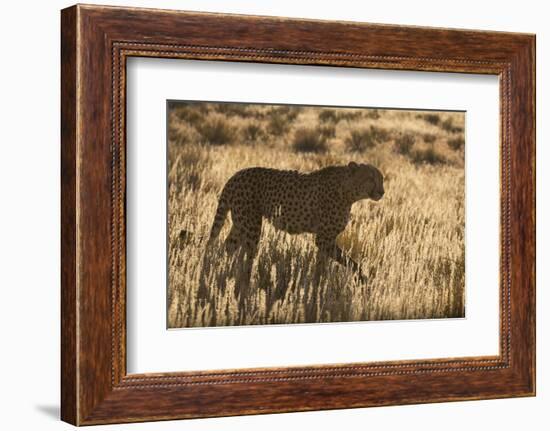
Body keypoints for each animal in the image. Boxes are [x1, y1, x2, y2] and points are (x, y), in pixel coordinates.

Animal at [206, 160, 384, 286]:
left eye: (381, 179)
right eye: (370, 178)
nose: (382, 192)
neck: (348, 191)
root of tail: (236, 175)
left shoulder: (326, 240)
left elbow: (322, 265)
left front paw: (318, 286)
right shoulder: (324, 239)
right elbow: (349, 262)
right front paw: (362, 279)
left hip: (240, 223)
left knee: (228, 246)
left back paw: (223, 271)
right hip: (251, 226)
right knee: (246, 256)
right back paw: (245, 282)